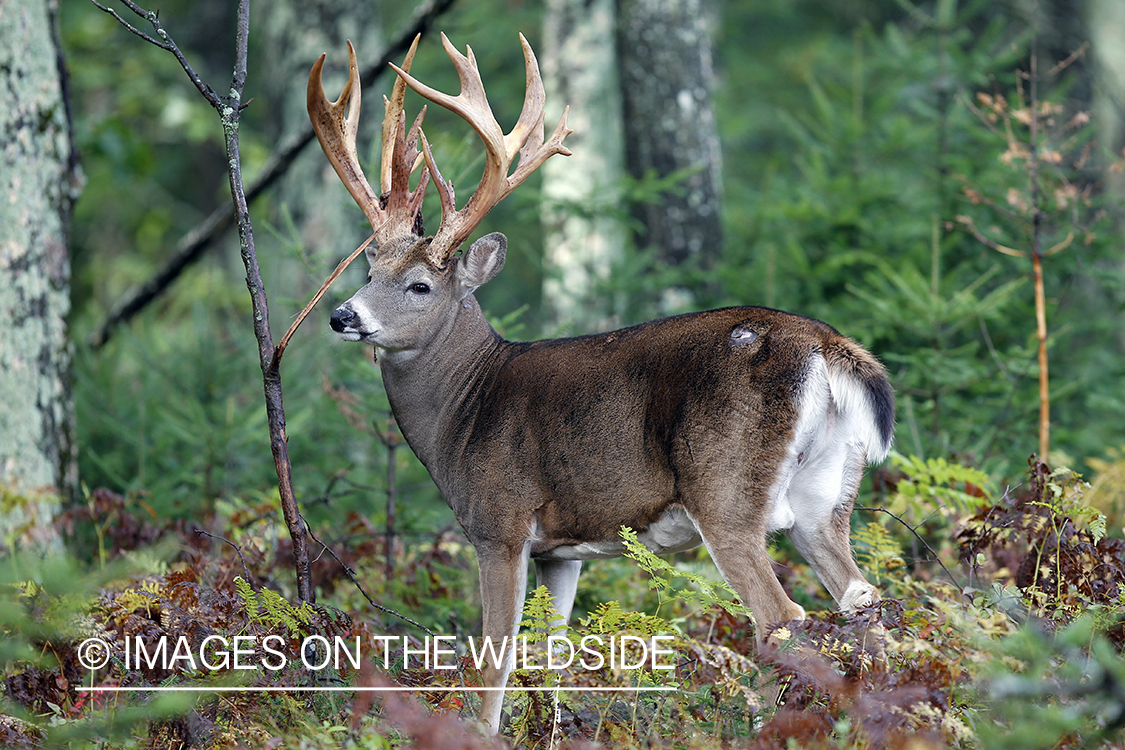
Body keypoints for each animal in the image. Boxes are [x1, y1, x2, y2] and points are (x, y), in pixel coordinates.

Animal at [308, 32, 895, 728]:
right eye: (370, 270)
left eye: (420, 285)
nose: (343, 316)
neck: (464, 409)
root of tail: (828, 349)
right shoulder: (562, 552)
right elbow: (553, 658)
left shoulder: (500, 523)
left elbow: (495, 660)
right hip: (824, 494)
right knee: (865, 600)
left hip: (726, 488)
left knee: (783, 616)